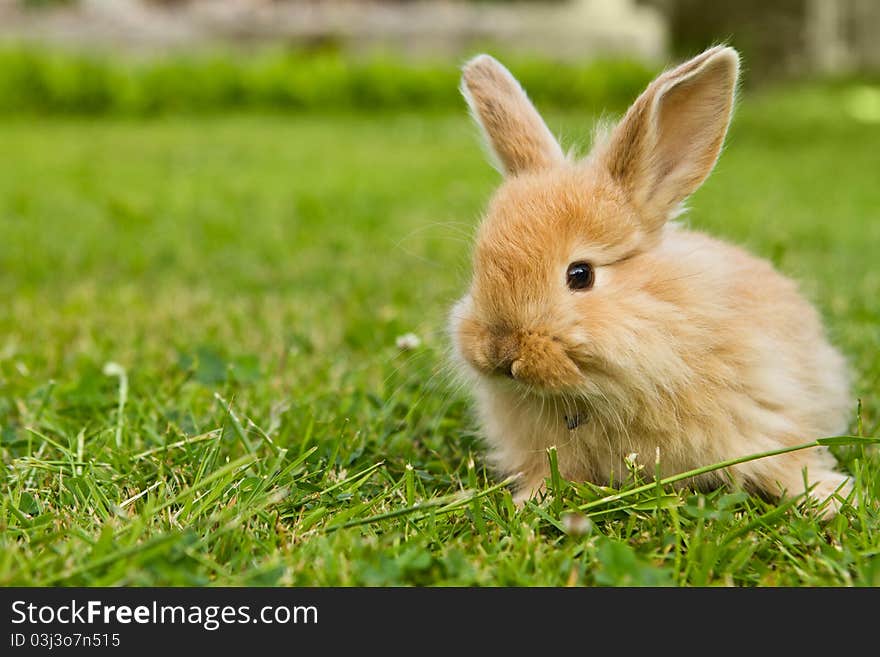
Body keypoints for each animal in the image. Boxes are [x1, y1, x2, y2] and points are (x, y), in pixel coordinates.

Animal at [446, 47, 852, 516]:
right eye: (478, 269)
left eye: (580, 275)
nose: (499, 350)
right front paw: (527, 503)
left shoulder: (768, 413)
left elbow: (786, 462)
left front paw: (833, 497)